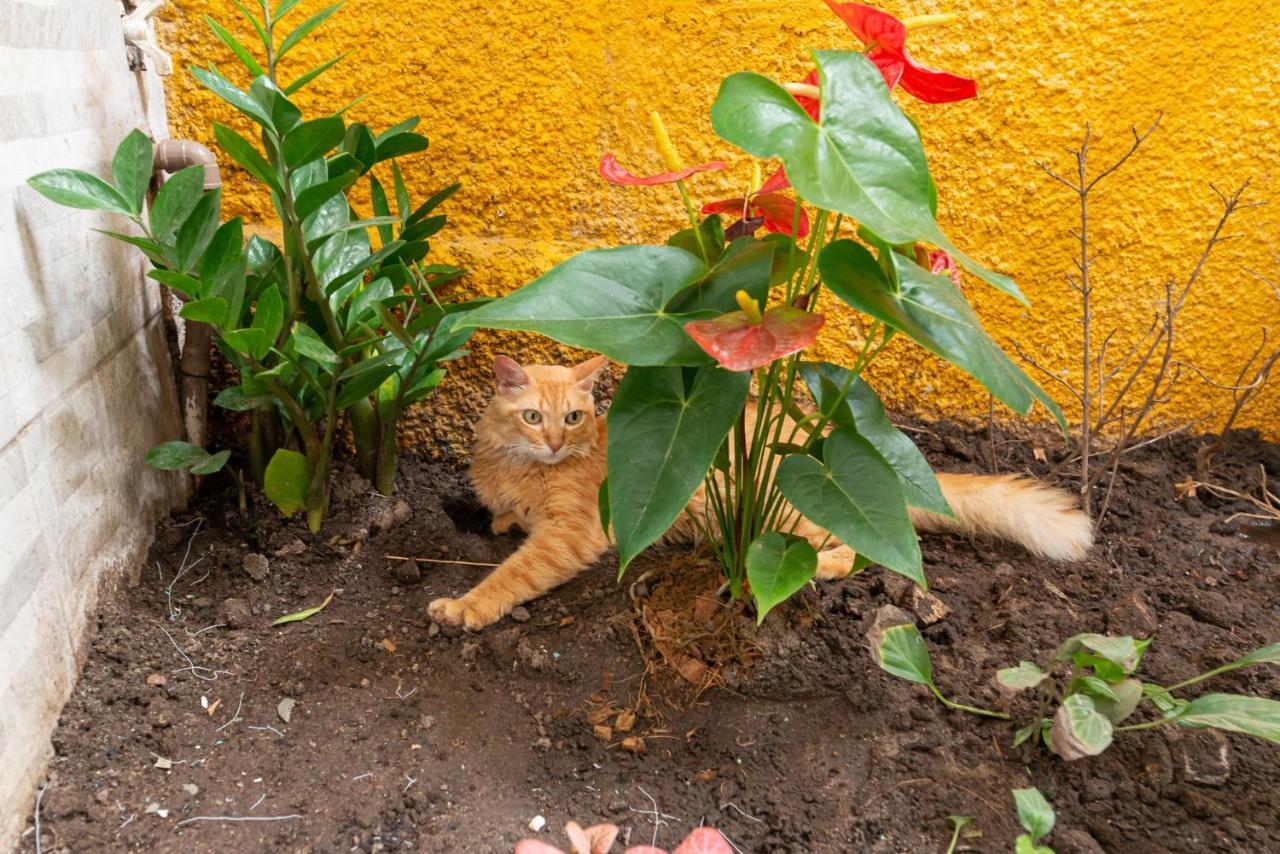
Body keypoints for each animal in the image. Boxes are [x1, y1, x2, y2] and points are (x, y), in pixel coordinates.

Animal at [427, 353, 1090, 627]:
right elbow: (507, 521)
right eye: (535, 417)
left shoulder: (573, 532)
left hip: (791, 513)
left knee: (855, 552)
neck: (520, 467)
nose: (556, 444)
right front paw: (502, 521)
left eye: (572, 418)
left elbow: (512, 575)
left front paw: (465, 607)